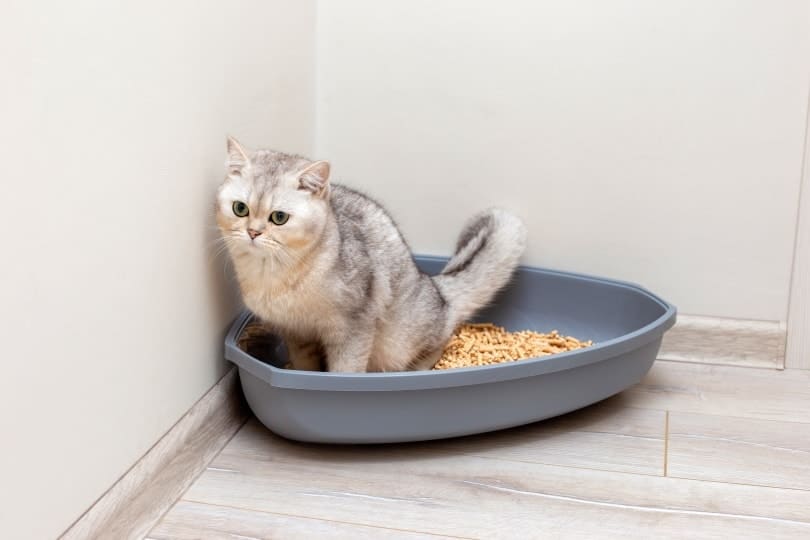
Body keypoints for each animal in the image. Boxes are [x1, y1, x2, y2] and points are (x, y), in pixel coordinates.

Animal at [215, 137, 528, 372]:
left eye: (279, 217)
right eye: (240, 209)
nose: (253, 232)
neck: (274, 276)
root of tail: (436, 288)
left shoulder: (354, 328)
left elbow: (345, 370)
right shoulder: (296, 334)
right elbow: (306, 367)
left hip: (399, 341)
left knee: (441, 339)